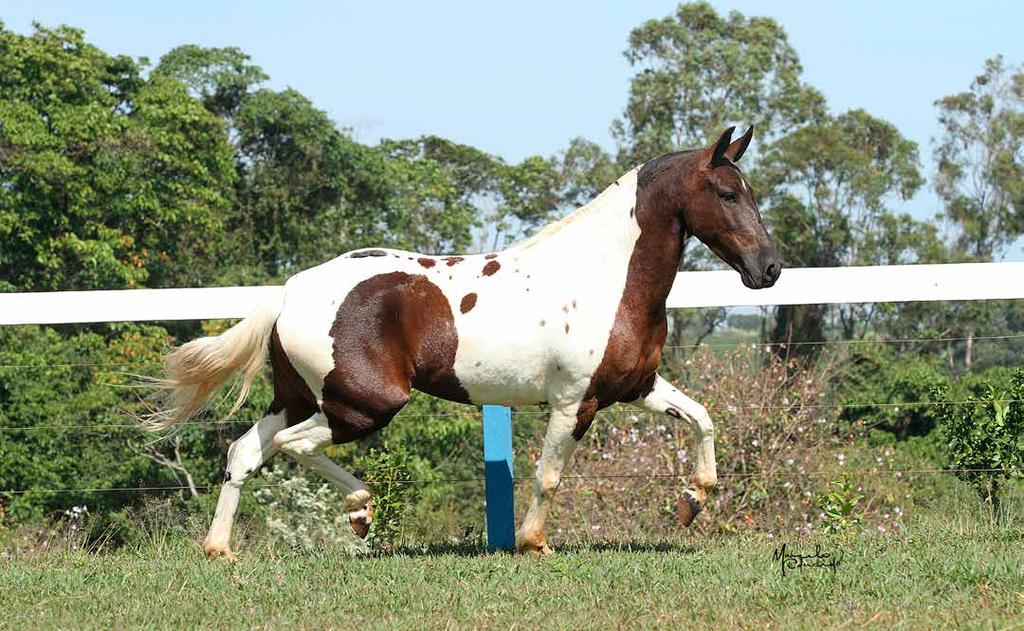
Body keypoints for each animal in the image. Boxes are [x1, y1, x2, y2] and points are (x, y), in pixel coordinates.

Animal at [144, 124, 778, 557]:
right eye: (727, 194)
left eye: (749, 192)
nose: (768, 269)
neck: (603, 278)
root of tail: (290, 292)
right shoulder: (574, 401)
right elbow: (549, 474)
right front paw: (532, 542)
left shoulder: (637, 387)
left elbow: (702, 418)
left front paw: (693, 501)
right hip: (365, 405)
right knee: (292, 446)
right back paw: (360, 511)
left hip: (300, 398)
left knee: (244, 453)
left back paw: (220, 549)